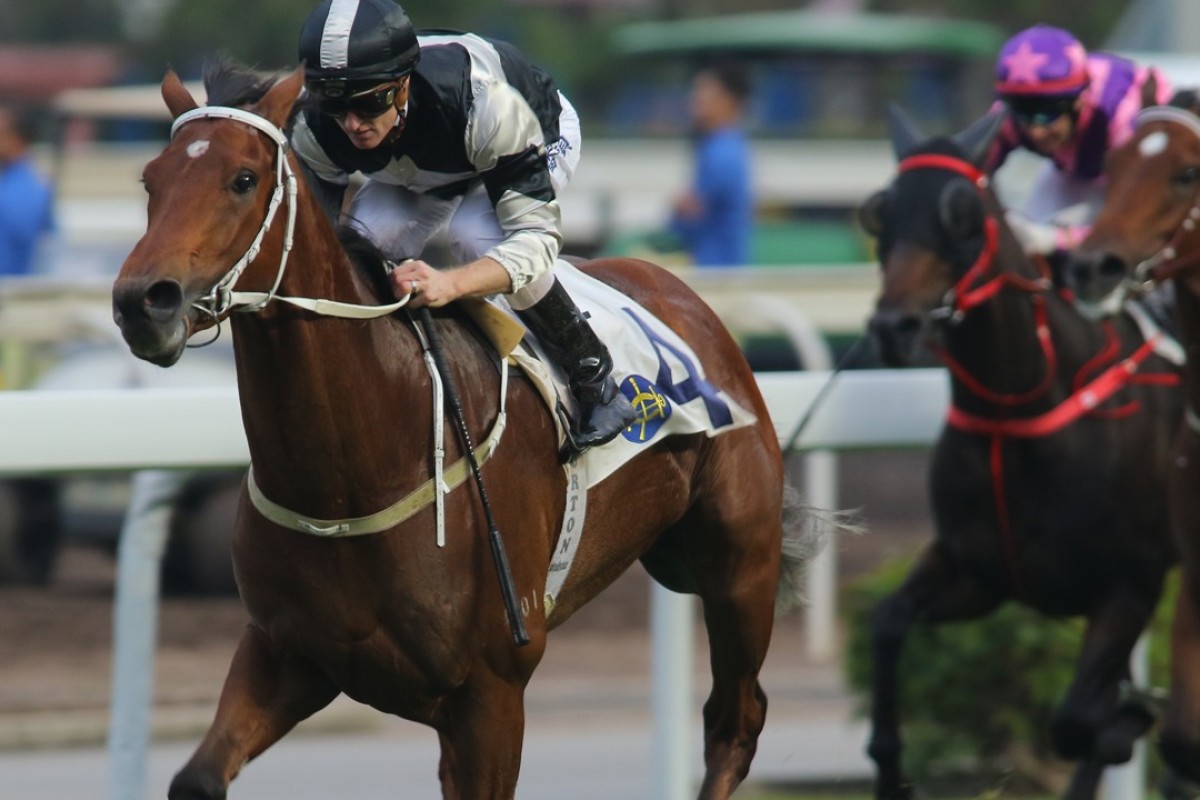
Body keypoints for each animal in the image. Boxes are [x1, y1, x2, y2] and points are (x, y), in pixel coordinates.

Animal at [110, 64, 806, 800]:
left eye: (243, 179)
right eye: (150, 180)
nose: (142, 302)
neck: (352, 475)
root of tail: (686, 296)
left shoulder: (491, 696)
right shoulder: (288, 655)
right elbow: (198, 778)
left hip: (739, 565)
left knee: (735, 721)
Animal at [864, 107, 1180, 800]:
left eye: (963, 214)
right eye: (879, 213)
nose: (894, 327)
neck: (1017, 417)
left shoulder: (1135, 577)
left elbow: (1078, 720)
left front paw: (1132, 717)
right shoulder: (980, 573)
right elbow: (887, 620)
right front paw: (893, 771)